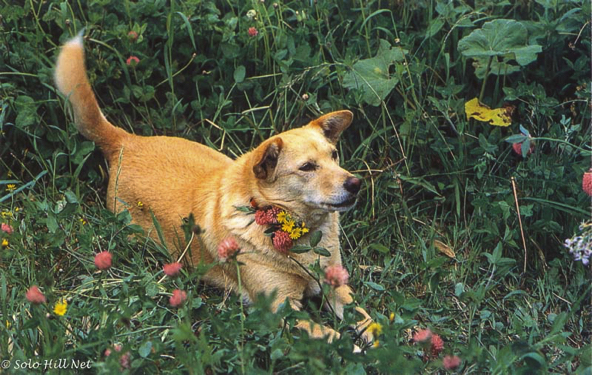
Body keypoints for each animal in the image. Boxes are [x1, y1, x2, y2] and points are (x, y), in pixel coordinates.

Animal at [54, 34, 370, 346]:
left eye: (334, 156)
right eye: (306, 167)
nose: (356, 184)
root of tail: (126, 140)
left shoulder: (337, 287)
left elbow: (366, 320)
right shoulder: (282, 311)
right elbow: (335, 340)